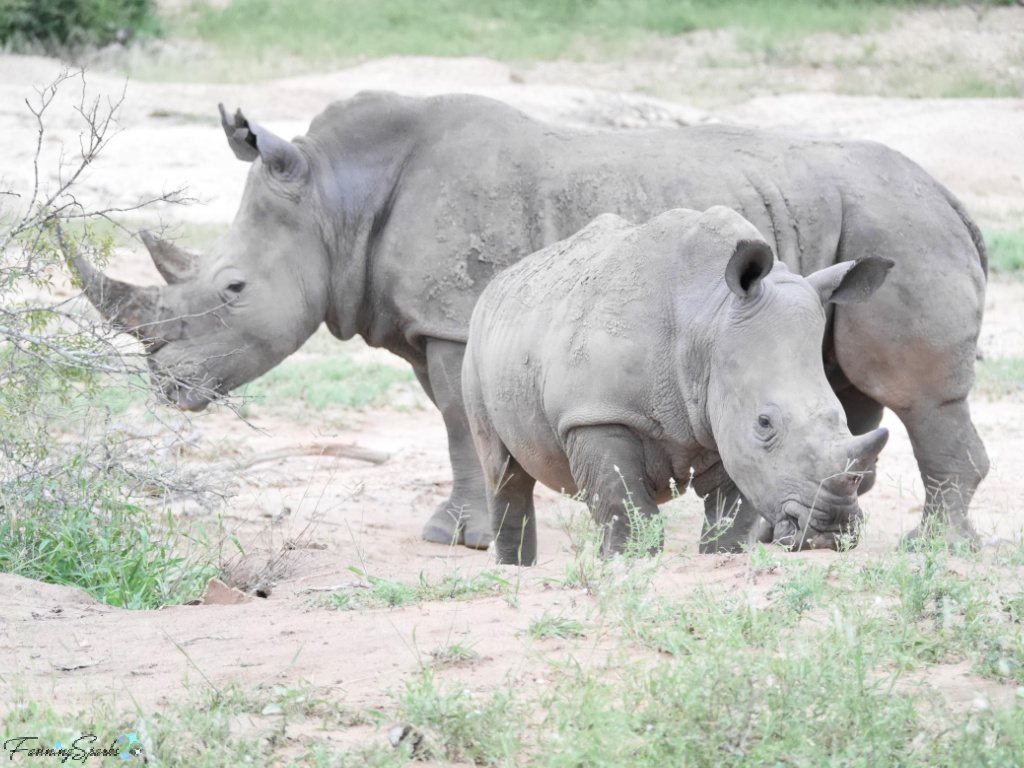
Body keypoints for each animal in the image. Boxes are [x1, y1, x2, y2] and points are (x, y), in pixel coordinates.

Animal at [468, 208, 892, 565]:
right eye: (764, 423)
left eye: (840, 417)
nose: (831, 532)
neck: (708, 318)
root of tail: (499, 283)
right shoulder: (596, 413)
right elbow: (622, 501)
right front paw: (628, 559)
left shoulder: (723, 418)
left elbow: (732, 511)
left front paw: (724, 555)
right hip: (477, 343)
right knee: (502, 472)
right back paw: (514, 567)